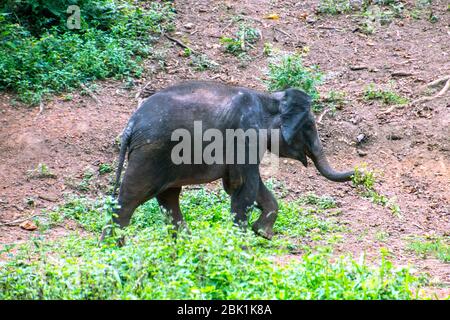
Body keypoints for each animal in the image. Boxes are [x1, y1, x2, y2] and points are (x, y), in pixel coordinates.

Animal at [103, 81, 356, 241]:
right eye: (310, 126)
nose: (355, 172)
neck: (269, 97)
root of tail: (131, 124)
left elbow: (251, 187)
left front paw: (262, 233)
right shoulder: (246, 136)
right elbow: (244, 188)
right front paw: (243, 248)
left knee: (169, 198)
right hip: (150, 153)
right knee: (130, 199)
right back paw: (114, 252)